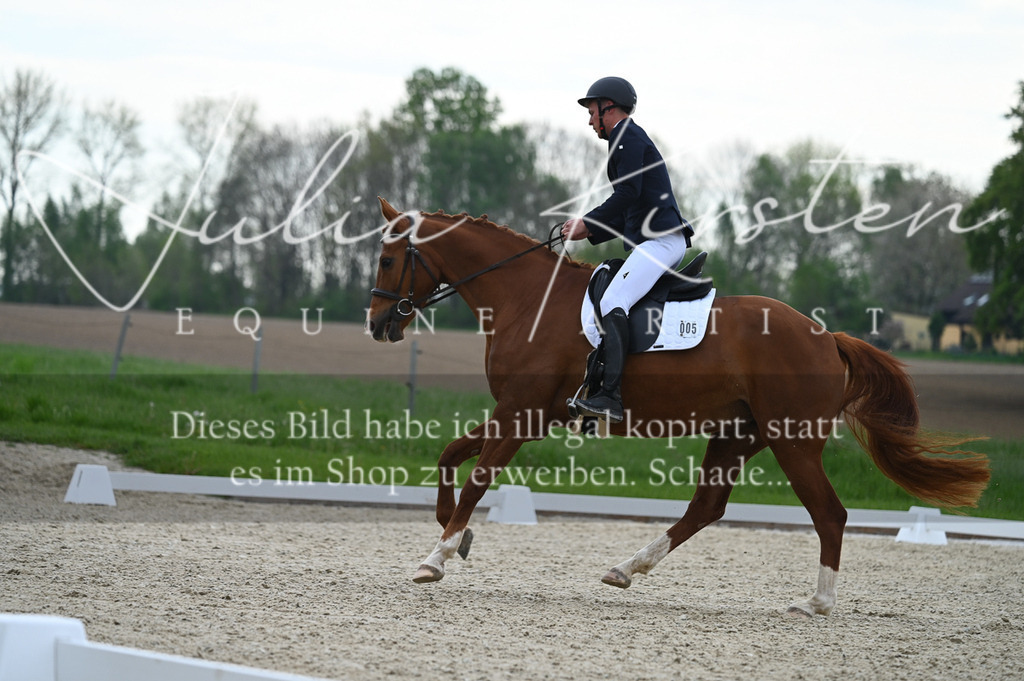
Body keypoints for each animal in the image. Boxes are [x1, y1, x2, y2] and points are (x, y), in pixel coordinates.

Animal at [366, 197, 990, 617]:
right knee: (706, 507)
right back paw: (626, 569)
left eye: (388, 260)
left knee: (829, 514)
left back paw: (815, 603)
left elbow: (476, 479)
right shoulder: (522, 412)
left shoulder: (522, 412)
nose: (377, 325)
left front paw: (437, 556)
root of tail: (826, 337)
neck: (524, 297)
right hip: (739, 434)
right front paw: (457, 535)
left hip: (792, 440)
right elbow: (450, 456)